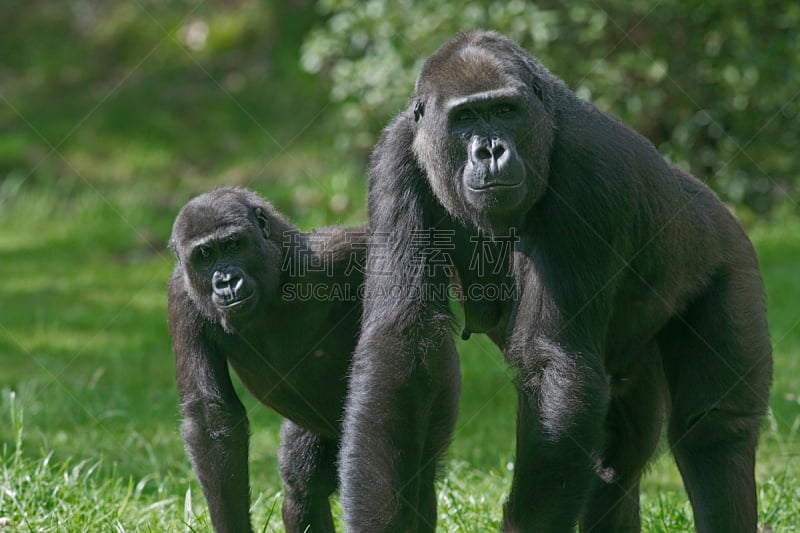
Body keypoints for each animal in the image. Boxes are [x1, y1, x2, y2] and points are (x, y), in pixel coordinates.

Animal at [166, 187, 460, 532]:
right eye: (205, 255)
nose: (226, 281)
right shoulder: (180, 295)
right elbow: (211, 418)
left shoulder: (336, 252)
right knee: (303, 483)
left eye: (233, 245)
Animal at [340, 30, 772, 532]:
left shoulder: (588, 172)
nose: (491, 150)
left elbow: (553, 362)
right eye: (465, 118)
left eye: (505, 111)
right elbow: (404, 344)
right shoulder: (394, 156)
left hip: (729, 256)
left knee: (714, 432)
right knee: (621, 454)